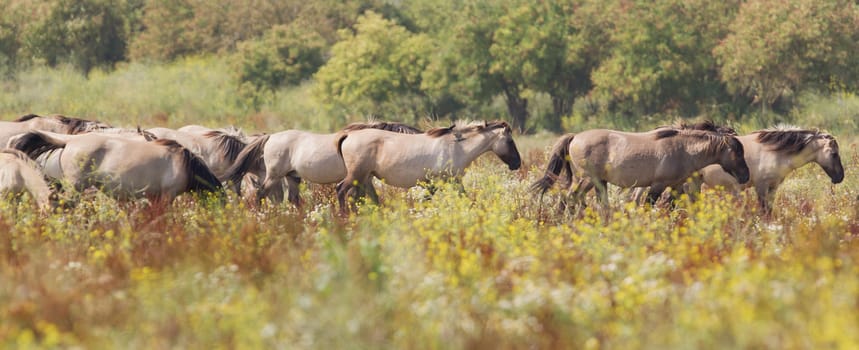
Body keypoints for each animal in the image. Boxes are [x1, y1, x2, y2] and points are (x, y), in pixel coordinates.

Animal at [340, 121, 520, 212]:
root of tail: (347, 136)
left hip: (365, 178)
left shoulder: (453, 182)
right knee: (341, 190)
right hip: (356, 176)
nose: (517, 164)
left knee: (362, 198)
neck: (457, 147)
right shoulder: (437, 182)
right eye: (510, 141)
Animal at [536, 129, 748, 208]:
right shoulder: (658, 185)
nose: (746, 176)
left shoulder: (676, 186)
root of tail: (575, 137)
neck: (684, 150)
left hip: (595, 182)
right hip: (587, 179)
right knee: (568, 199)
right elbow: (648, 206)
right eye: (737, 153)